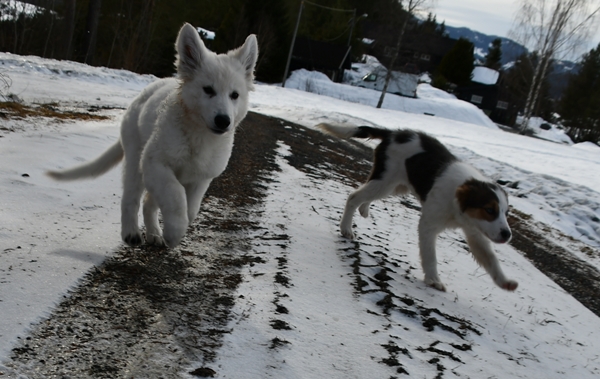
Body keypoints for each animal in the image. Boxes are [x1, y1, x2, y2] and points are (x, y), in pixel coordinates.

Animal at [48, 23, 258, 249]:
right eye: (208, 90)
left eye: (234, 95)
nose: (223, 121)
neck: (198, 135)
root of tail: (143, 94)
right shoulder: (155, 163)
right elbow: (175, 196)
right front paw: (175, 231)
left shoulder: (202, 177)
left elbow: (191, 208)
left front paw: (173, 230)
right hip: (135, 159)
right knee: (131, 198)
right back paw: (131, 232)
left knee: (149, 202)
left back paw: (154, 233)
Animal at [316, 123, 516, 292]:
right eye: (490, 210)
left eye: (505, 213)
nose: (507, 235)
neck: (458, 209)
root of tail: (393, 133)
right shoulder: (429, 224)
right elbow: (430, 255)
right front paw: (434, 280)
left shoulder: (475, 231)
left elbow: (490, 258)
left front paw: (505, 282)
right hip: (386, 180)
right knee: (354, 196)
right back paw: (346, 229)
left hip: (396, 186)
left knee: (364, 194)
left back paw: (363, 210)